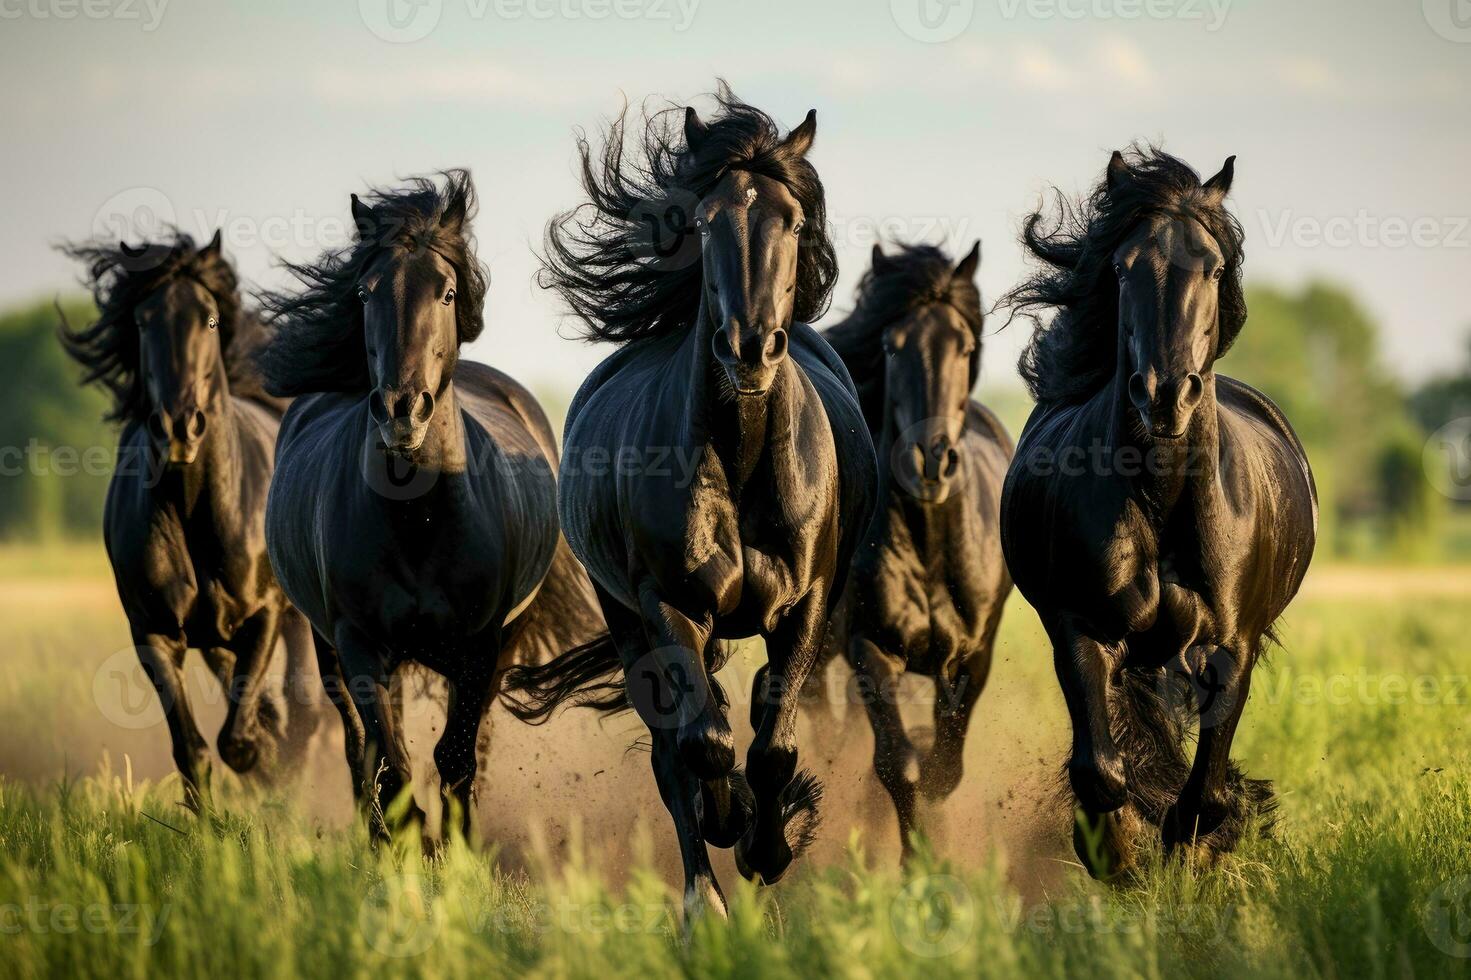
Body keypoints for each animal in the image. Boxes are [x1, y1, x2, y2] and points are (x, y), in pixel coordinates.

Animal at [61, 231, 320, 806]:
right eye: (142, 321)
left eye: (210, 319)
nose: (179, 426)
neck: (194, 509)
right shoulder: (154, 632)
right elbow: (195, 752)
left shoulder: (264, 615)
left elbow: (240, 739)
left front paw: (272, 758)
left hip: (298, 618)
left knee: (307, 705)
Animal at [258, 169, 603, 841]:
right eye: (364, 292)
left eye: (445, 293)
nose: (401, 410)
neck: (416, 521)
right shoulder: (359, 643)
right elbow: (389, 761)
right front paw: (409, 845)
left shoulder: (479, 647)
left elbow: (456, 757)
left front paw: (456, 850)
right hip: (329, 647)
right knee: (358, 747)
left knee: (472, 746)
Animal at [508, 87, 870, 912]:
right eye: (705, 221)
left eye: (791, 220)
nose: (748, 348)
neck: (739, 463)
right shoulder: (667, 603)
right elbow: (702, 745)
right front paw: (728, 826)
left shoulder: (805, 606)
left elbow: (773, 746)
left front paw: (771, 843)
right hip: (629, 620)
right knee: (675, 751)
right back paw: (702, 896)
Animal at [817, 238, 1012, 853]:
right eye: (890, 345)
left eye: (965, 346)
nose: (930, 460)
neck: (930, 546)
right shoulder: (870, 648)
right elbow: (898, 764)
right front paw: (916, 862)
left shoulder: (973, 658)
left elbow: (942, 769)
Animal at [1006, 148, 1318, 871]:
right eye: (1124, 266)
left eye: (1213, 267)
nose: (1166, 395)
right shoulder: (1081, 628)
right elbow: (1101, 771)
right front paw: (1116, 858)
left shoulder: (1232, 646)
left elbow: (1204, 796)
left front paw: (1195, 854)